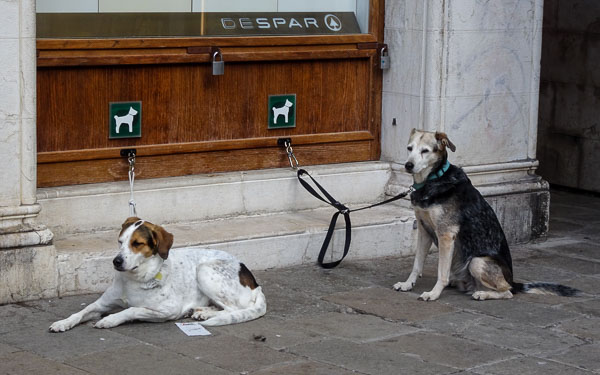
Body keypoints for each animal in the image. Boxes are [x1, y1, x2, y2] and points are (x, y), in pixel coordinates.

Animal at [50, 217, 266, 332]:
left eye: (137, 243)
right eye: (120, 242)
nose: (116, 261)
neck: (134, 279)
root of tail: (255, 283)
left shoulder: (167, 310)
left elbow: (131, 310)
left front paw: (110, 320)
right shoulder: (101, 304)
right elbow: (81, 312)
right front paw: (63, 322)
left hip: (204, 270)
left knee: (233, 309)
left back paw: (205, 313)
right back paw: (201, 311)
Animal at [392, 129, 580, 302]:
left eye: (425, 151)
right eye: (409, 148)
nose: (408, 165)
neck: (434, 179)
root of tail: (513, 281)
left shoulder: (446, 234)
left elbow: (441, 273)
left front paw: (433, 294)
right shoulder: (424, 229)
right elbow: (417, 264)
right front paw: (407, 284)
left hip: (477, 262)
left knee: (507, 291)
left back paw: (482, 293)